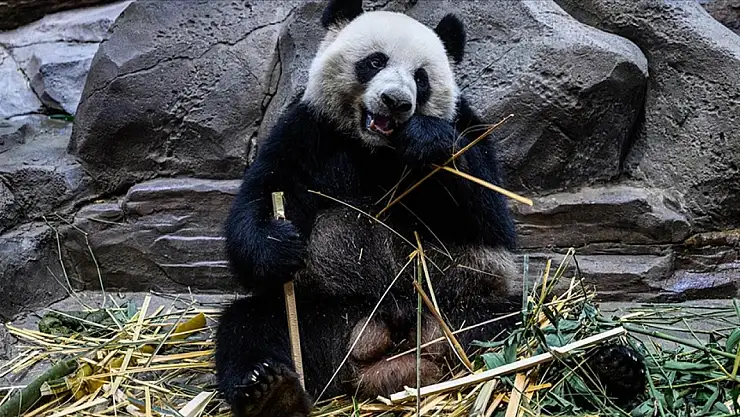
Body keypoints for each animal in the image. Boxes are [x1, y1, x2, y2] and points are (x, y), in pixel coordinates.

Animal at [214, 1, 647, 416]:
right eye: (375, 61)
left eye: (421, 78)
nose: (396, 102)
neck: (376, 150)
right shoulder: (309, 132)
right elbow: (263, 194)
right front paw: (278, 244)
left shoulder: (468, 127)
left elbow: (490, 215)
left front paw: (427, 142)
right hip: (324, 314)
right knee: (252, 327)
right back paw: (269, 391)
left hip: (469, 310)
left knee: (539, 324)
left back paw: (611, 367)